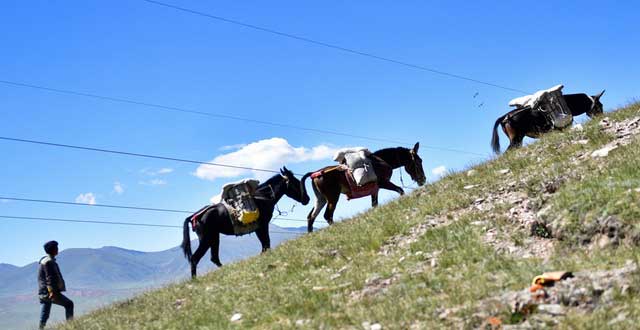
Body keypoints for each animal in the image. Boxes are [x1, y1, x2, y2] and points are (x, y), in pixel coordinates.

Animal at [180, 168, 310, 278]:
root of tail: (195, 216)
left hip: (214, 238)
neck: (263, 197)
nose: (307, 199)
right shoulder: (262, 226)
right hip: (206, 239)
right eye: (296, 182)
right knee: (195, 259)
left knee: (214, 258)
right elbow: (266, 244)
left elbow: (265, 245)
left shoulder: (259, 228)